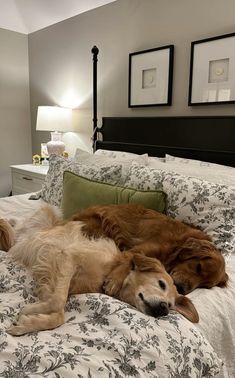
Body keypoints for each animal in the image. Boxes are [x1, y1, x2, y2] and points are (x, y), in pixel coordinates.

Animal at [5, 205, 198, 336]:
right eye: (161, 283)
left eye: (171, 306)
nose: (164, 309)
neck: (108, 270)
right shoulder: (68, 257)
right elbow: (58, 302)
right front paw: (28, 311)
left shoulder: (55, 278)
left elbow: (59, 314)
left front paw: (28, 322)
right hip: (48, 212)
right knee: (16, 224)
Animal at [72, 204, 229, 296]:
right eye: (199, 267)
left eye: (205, 286)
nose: (182, 290)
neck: (176, 246)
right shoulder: (138, 249)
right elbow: (128, 258)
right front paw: (115, 282)